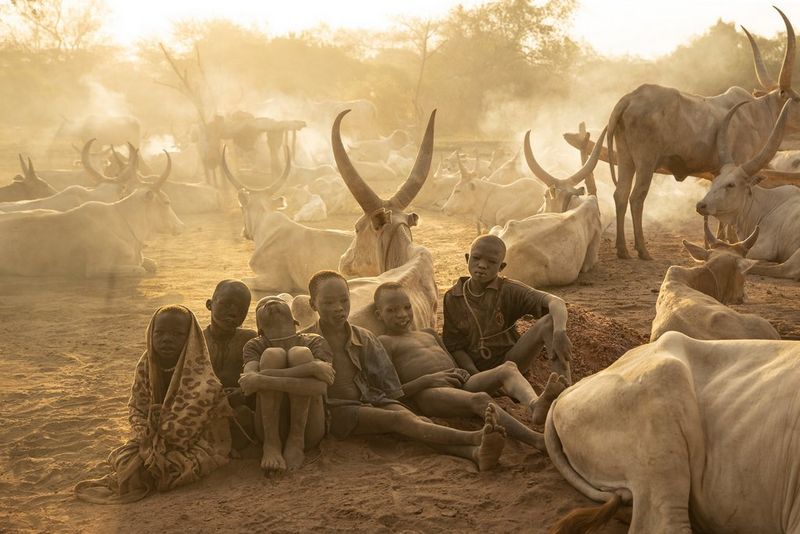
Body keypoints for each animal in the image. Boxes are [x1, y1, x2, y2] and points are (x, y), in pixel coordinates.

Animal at [607, 6, 800, 260]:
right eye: (798, 99)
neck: (756, 113)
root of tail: (630, 97)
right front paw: (728, 241)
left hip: (626, 158)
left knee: (620, 194)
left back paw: (622, 249)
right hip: (645, 161)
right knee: (636, 196)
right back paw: (642, 250)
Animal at [697, 99, 800, 280]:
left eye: (731, 184)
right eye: (714, 180)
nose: (701, 205)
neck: (765, 205)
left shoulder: (763, 247)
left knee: (785, 269)